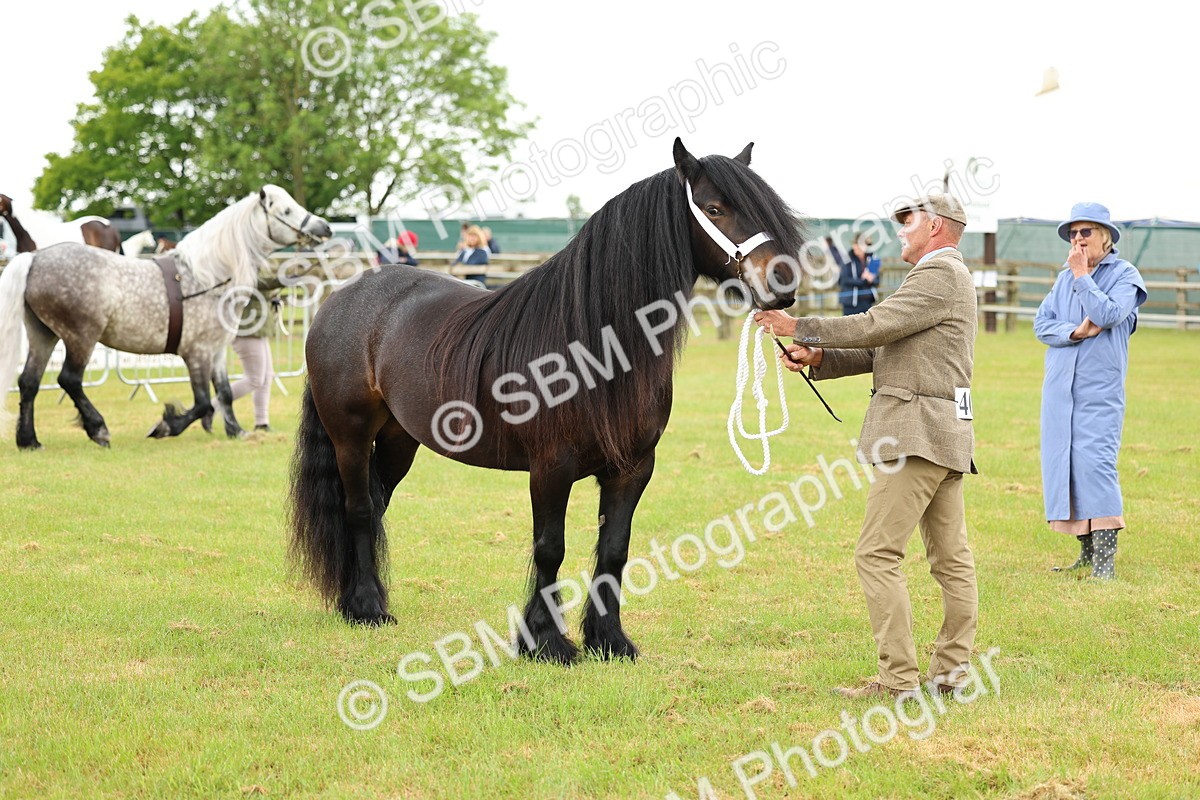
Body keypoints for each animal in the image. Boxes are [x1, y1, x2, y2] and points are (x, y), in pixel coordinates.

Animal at [0, 185, 331, 449]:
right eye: (286, 209)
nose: (325, 228)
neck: (204, 277)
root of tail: (35, 258)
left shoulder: (217, 351)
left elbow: (224, 392)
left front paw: (235, 430)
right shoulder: (196, 353)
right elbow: (201, 402)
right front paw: (166, 426)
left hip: (43, 334)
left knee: (29, 382)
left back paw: (29, 440)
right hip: (81, 338)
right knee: (69, 379)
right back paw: (98, 429)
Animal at [288, 139, 803, 663]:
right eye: (715, 208)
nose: (783, 285)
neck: (595, 344)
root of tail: (343, 296)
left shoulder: (634, 467)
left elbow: (614, 548)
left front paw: (609, 639)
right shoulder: (550, 466)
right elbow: (549, 548)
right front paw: (545, 641)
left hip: (398, 440)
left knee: (376, 503)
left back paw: (356, 600)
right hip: (350, 435)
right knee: (359, 509)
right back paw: (367, 608)